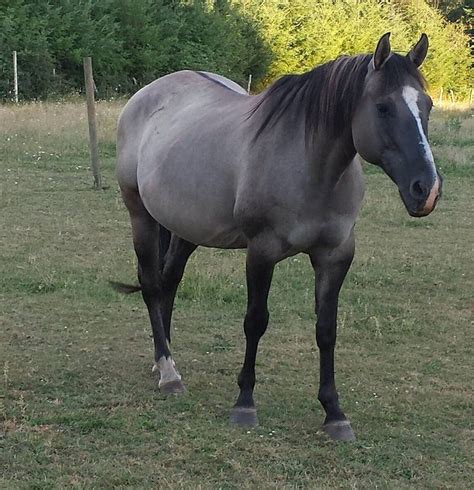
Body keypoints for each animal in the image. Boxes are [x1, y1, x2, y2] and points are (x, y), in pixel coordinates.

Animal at [115, 32, 440, 442]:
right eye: (383, 107)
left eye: (427, 105)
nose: (426, 190)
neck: (309, 166)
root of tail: (147, 94)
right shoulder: (262, 252)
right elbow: (255, 321)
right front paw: (244, 404)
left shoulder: (336, 255)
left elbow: (326, 329)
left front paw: (334, 413)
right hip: (140, 215)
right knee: (152, 285)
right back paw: (169, 372)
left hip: (184, 226)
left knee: (169, 282)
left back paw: (164, 362)